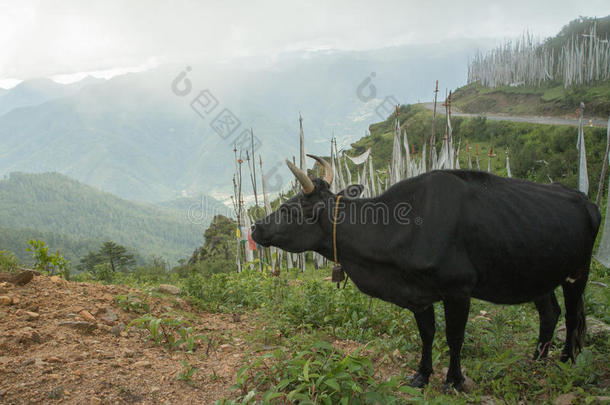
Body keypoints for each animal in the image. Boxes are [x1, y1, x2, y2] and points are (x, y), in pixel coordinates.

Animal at [252, 154, 600, 388]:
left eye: (290, 208)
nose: (255, 227)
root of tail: (586, 200)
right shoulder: (418, 294)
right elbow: (427, 333)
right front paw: (422, 374)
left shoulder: (458, 290)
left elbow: (454, 336)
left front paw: (454, 380)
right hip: (536, 276)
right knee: (550, 313)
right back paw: (536, 362)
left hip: (578, 273)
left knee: (571, 317)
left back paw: (566, 361)